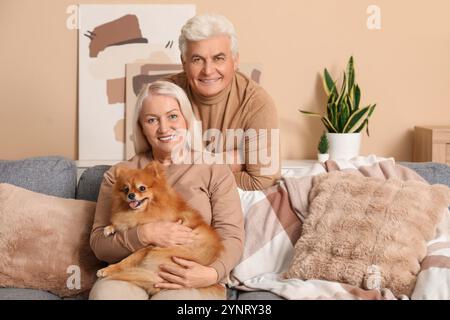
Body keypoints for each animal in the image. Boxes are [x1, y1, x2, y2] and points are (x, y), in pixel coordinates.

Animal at [98, 162, 225, 298]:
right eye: (126, 189)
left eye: (142, 188)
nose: (131, 195)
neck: (145, 210)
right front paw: (110, 227)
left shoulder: (148, 246)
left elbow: (128, 260)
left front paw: (109, 269)